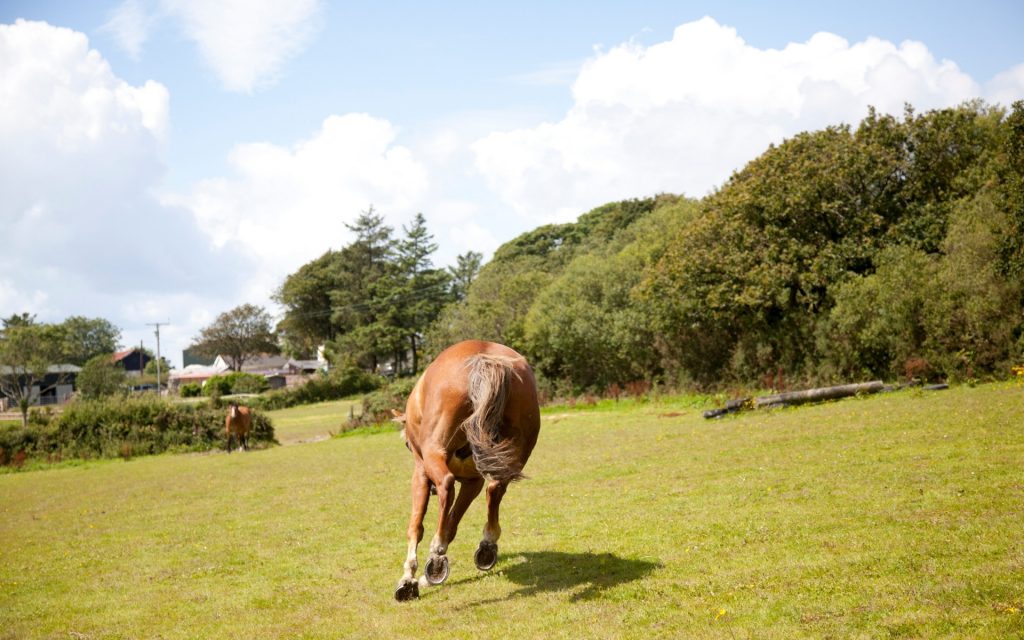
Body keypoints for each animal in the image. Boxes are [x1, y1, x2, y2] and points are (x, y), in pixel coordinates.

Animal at [393, 340, 541, 601]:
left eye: (407, 445)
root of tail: (484, 357)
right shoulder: (473, 482)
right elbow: (452, 522)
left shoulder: (420, 473)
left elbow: (416, 527)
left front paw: (409, 579)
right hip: (515, 452)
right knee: (495, 488)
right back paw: (487, 545)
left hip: (434, 454)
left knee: (446, 484)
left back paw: (437, 552)